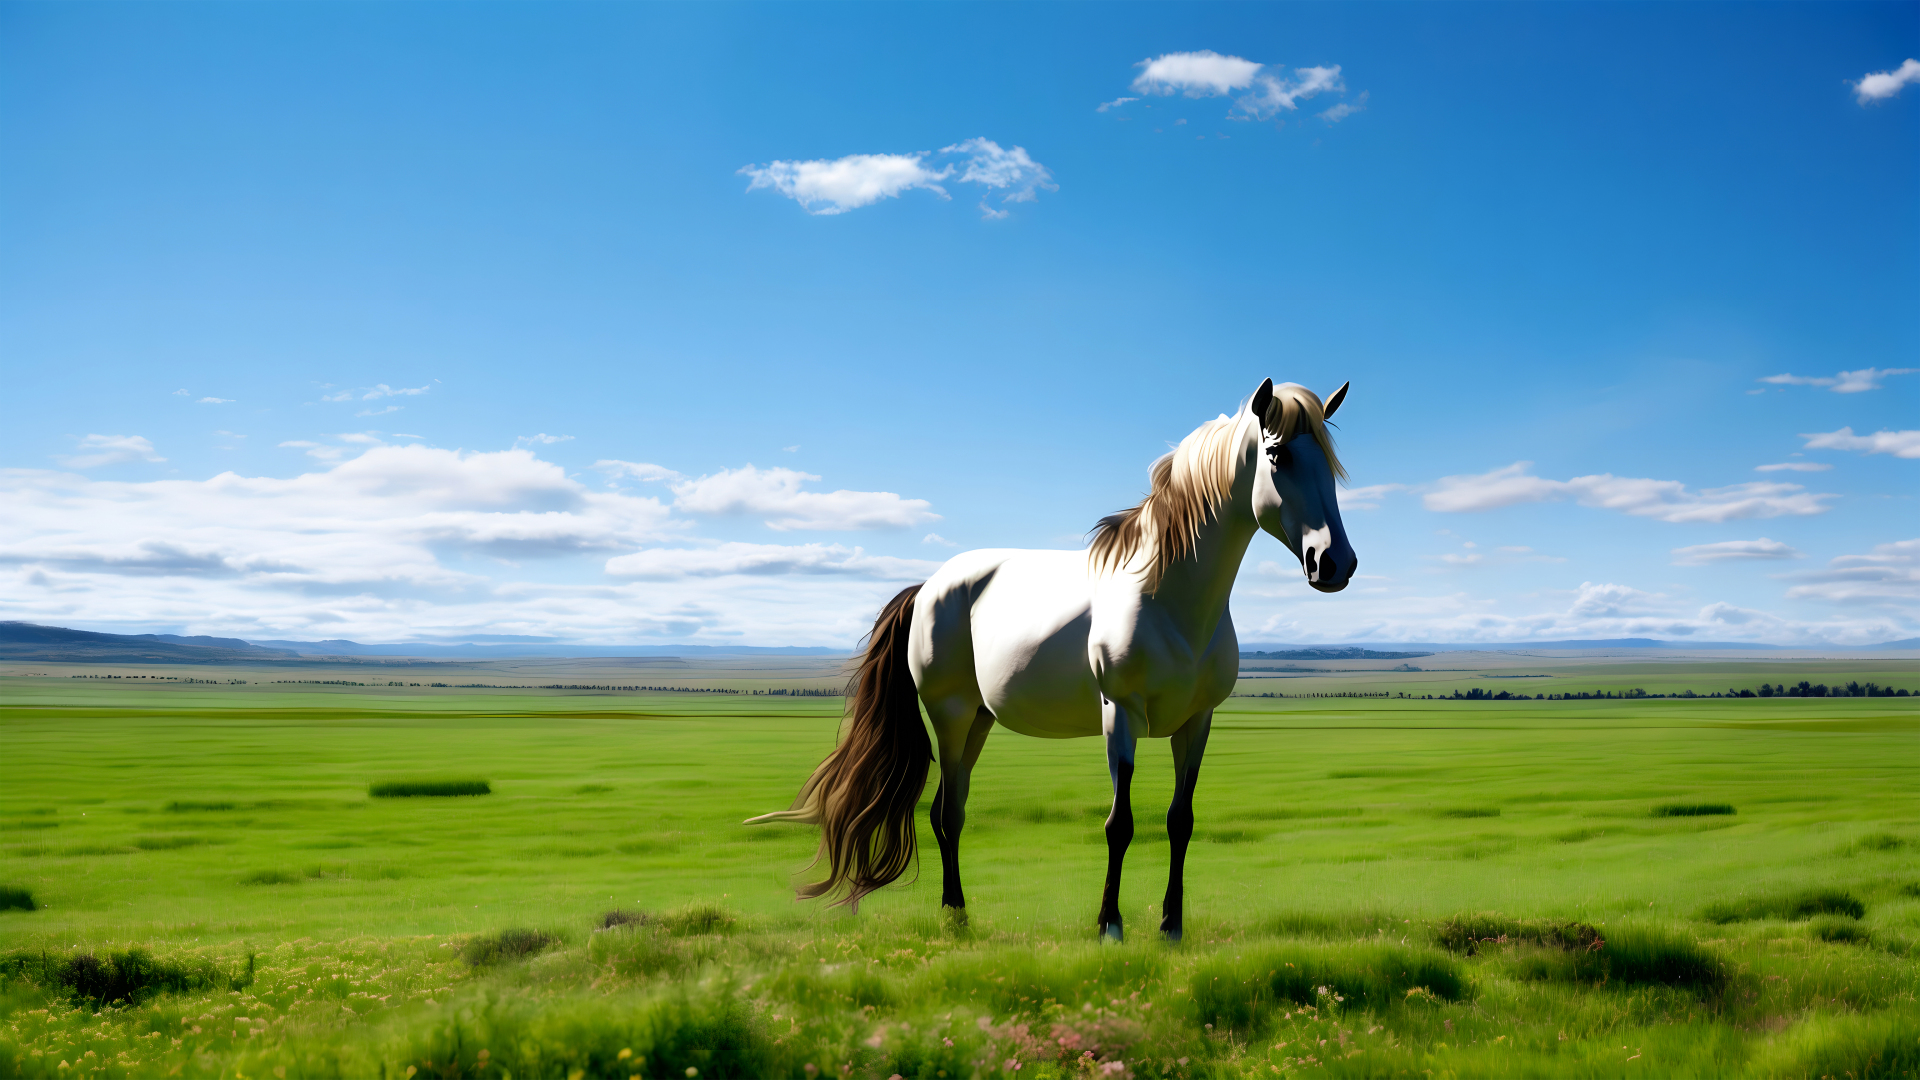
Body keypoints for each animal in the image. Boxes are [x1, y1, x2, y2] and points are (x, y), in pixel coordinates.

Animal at [747, 378, 1356, 942]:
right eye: (1277, 455)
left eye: (1330, 463)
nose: (1334, 563)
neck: (1167, 595)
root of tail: (930, 587)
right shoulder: (1120, 715)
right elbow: (1120, 824)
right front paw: (1110, 925)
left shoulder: (1197, 722)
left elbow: (1179, 821)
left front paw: (1170, 926)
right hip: (950, 715)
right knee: (944, 813)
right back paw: (956, 915)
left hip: (980, 721)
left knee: (954, 808)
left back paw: (958, 912)